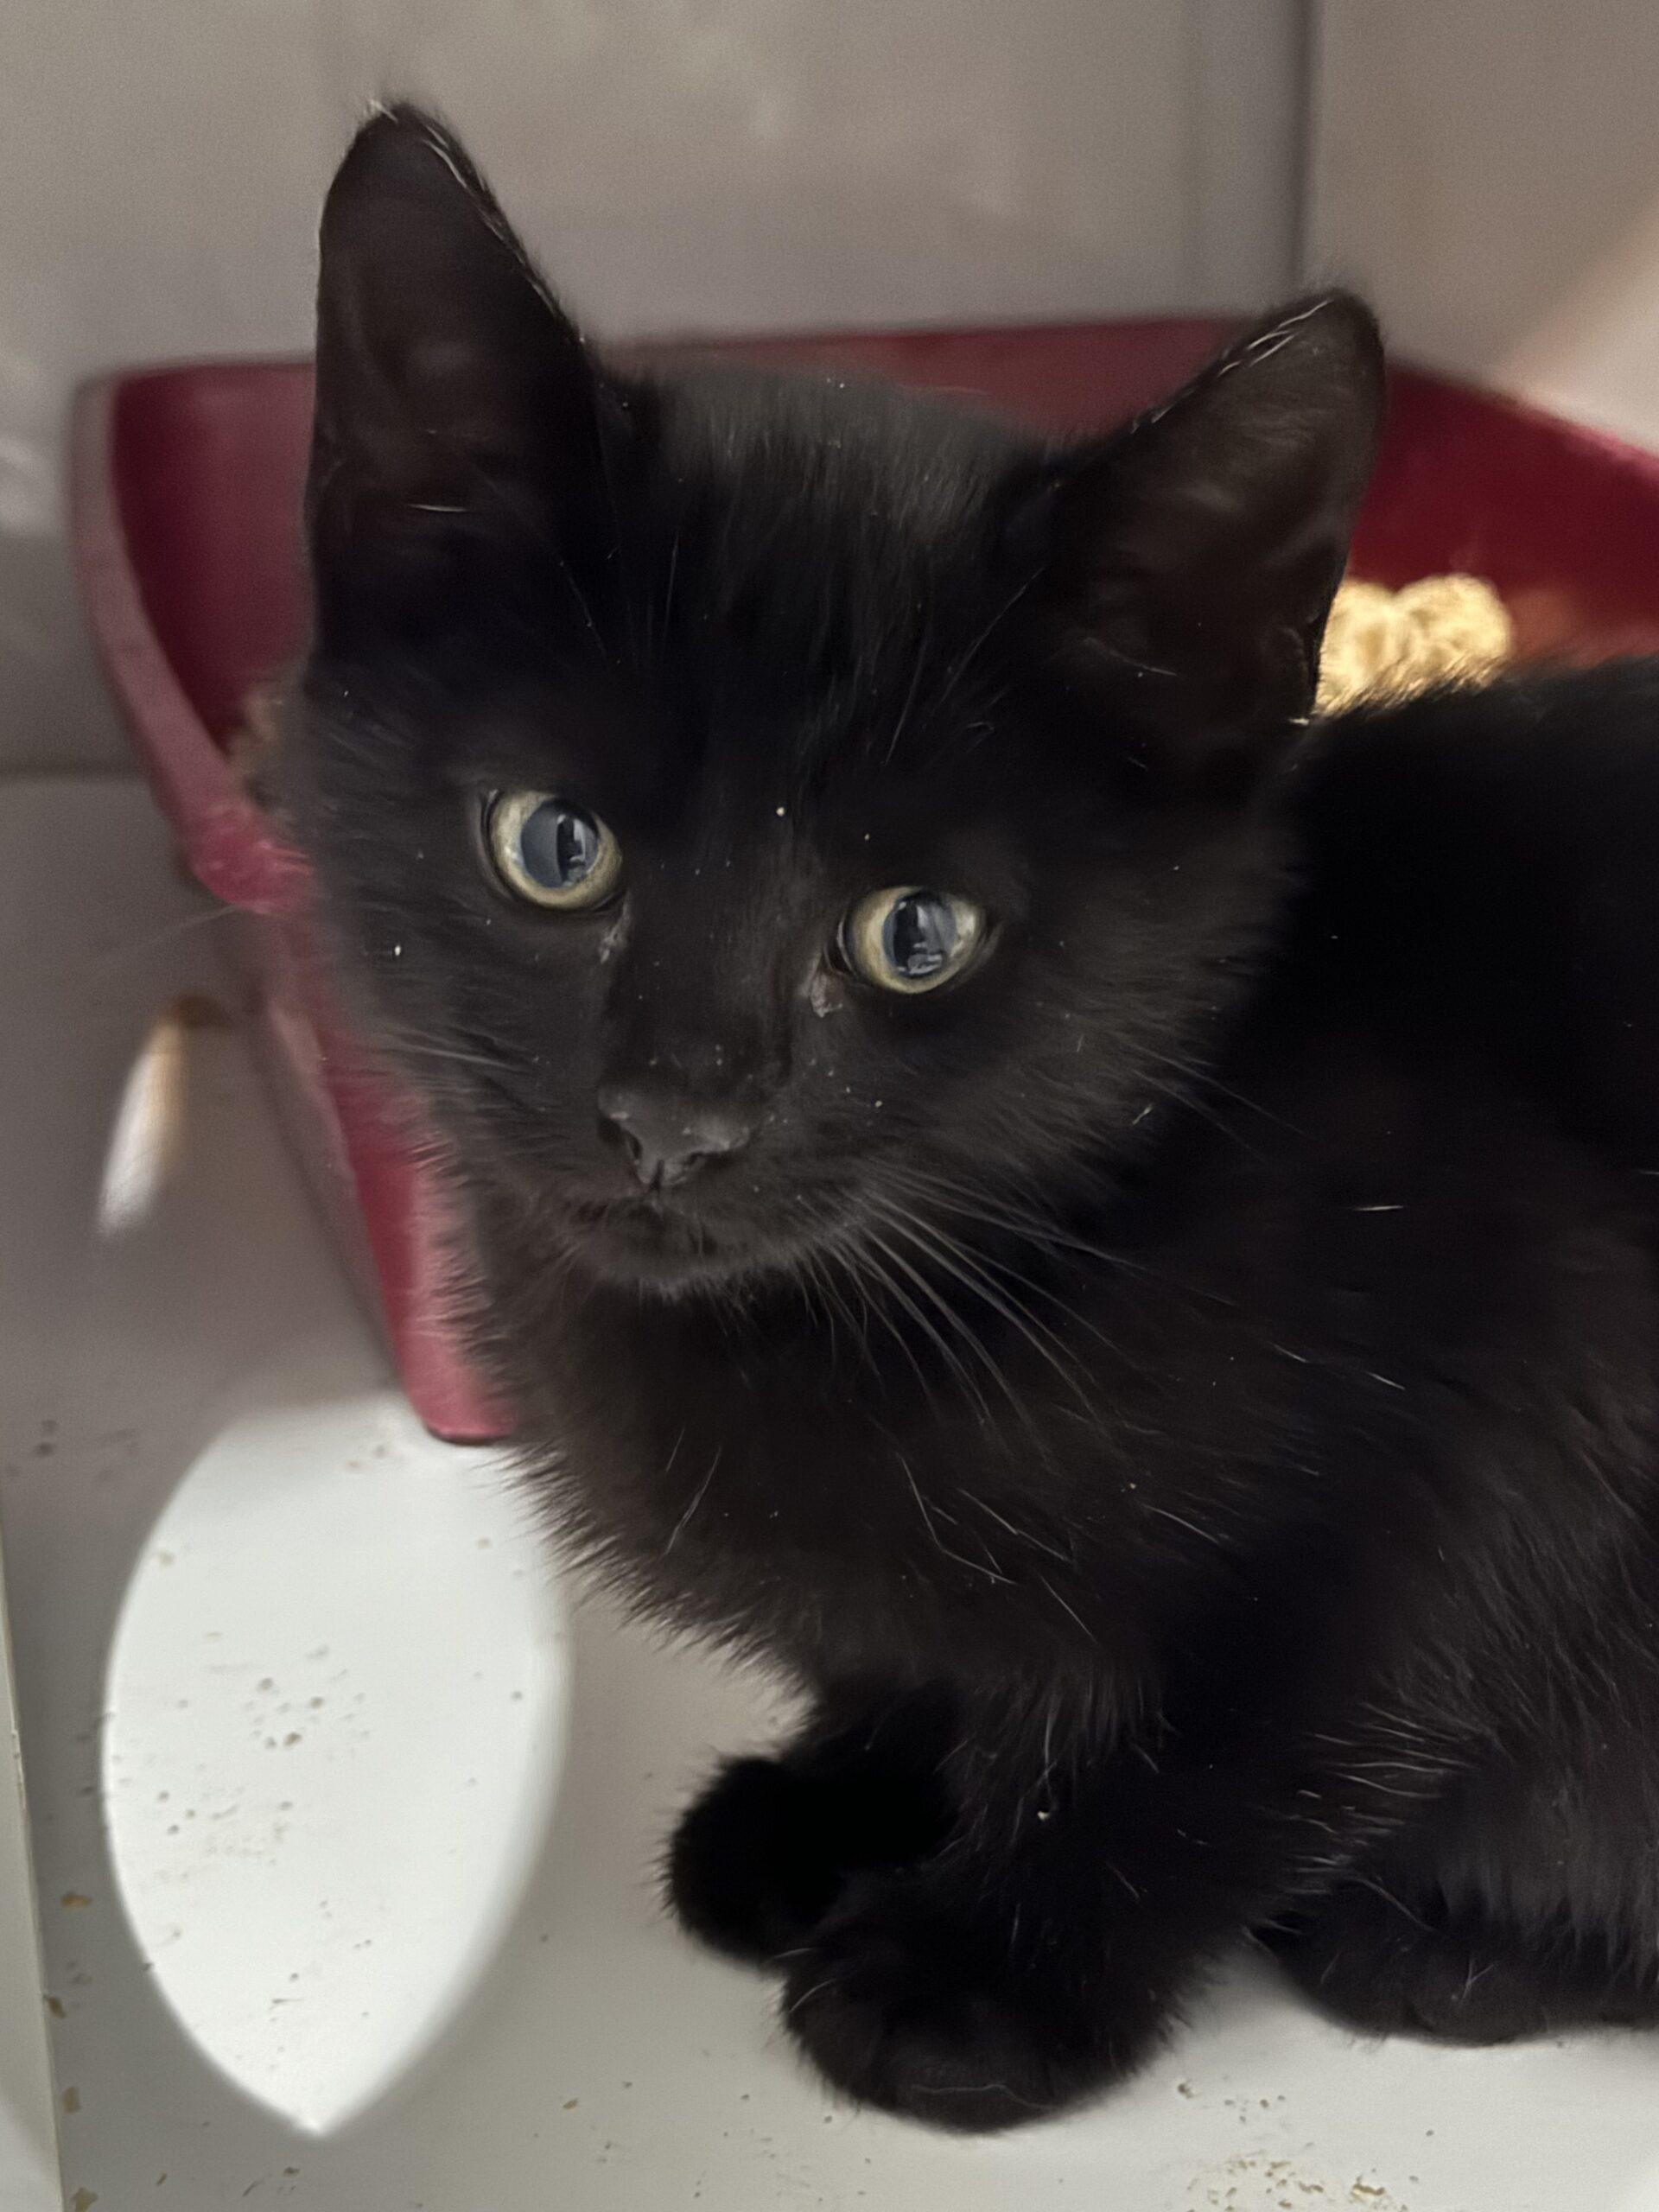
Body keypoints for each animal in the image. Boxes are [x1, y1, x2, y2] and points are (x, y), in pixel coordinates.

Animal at [289, 111, 1659, 2132]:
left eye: (914, 935)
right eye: (554, 844)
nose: (676, 1116)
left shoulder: (1526, 1390)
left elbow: (1246, 1741)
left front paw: (982, 1972)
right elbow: (933, 1670)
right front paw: (843, 1793)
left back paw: (1447, 1949)